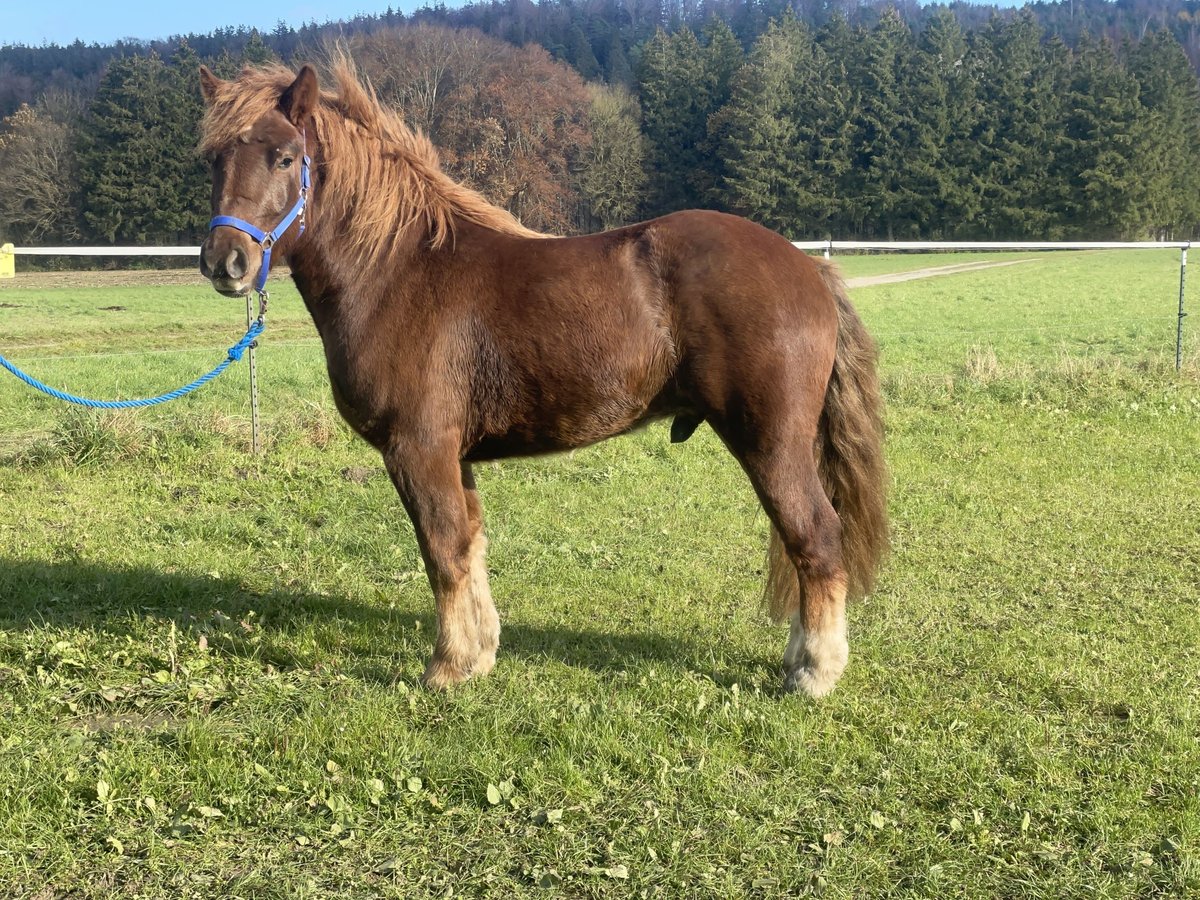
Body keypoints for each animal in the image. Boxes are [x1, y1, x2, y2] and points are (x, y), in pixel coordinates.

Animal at [196, 61, 888, 696]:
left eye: (286, 157)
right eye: (213, 159)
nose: (226, 262)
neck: (398, 270)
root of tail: (807, 267)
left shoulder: (418, 450)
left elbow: (443, 551)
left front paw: (446, 668)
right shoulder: (454, 456)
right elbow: (469, 547)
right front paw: (478, 654)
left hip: (771, 441)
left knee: (816, 537)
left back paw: (813, 672)